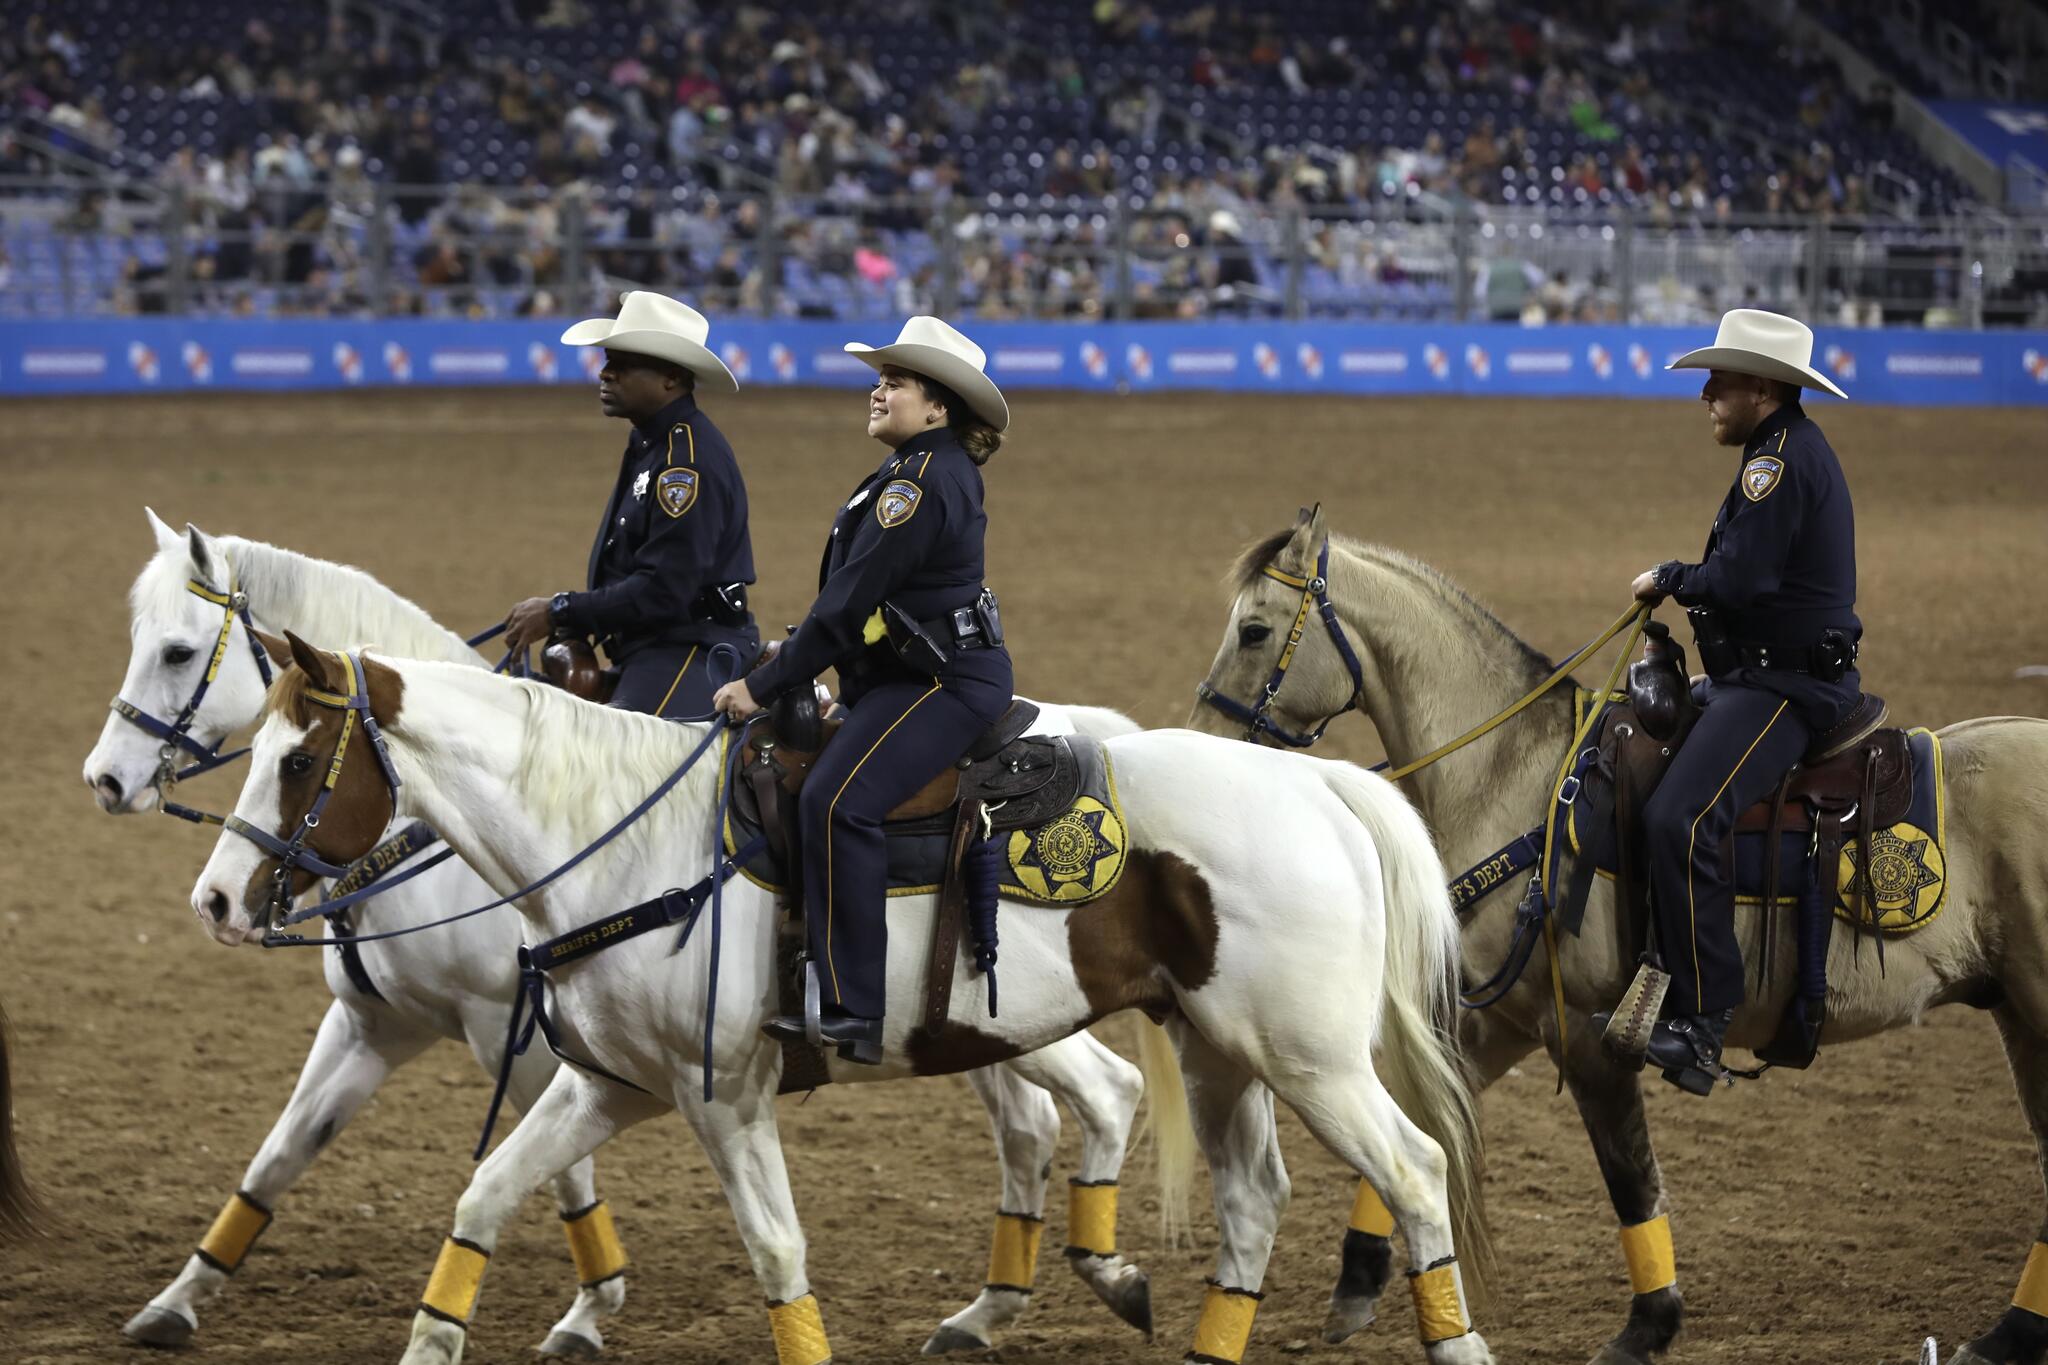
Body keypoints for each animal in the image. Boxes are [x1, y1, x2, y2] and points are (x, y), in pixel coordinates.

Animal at [79, 509, 1155, 1358]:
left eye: (178, 650)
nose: (107, 779)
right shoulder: (374, 1024)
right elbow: (279, 1157)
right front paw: (175, 1302)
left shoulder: (509, 1032)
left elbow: (559, 1177)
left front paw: (590, 1309)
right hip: (964, 1024)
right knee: (1035, 1120)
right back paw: (986, 1310)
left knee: (1096, 1095)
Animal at [195, 638, 1490, 1365]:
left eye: (299, 761)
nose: (214, 899)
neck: (626, 846)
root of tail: (1318, 785)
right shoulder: (609, 1087)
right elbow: (482, 1198)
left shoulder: (723, 1099)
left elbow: (776, 1252)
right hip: (1221, 1051)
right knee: (1251, 1200)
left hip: (1311, 1060)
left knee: (1412, 1168)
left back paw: (1457, 1342)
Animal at [1196, 509, 2048, 1365]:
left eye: (1255, 628)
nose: (1202, 737)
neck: (1514, 777)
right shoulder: (1505, 1021)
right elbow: (1419, 1124)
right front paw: (1360, 1275)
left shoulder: (1588, 1032)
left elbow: (1630, 1177)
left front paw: (1649, 1324)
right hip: (2015, 1009)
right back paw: (2007, 1333)